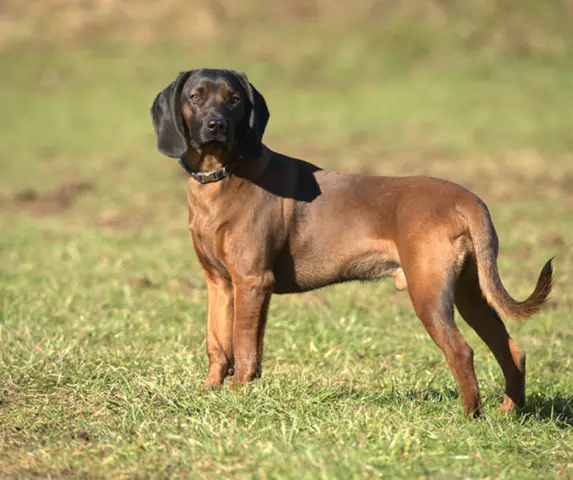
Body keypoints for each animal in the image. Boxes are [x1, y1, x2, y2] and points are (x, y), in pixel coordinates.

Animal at [150, 67, 552, 416]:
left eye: (234, 99)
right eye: (195, 96)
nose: (216, 125)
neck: (222, 177)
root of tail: (466, 200)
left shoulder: (252, 281)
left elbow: (245, 346)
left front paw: (238, 393)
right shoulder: (218, 283)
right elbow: (217, 342)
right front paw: (210, 390)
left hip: (429, 291)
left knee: (462, 350)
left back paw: (470, 417)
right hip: (471, 291)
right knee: (511, 349)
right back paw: (509, 410)